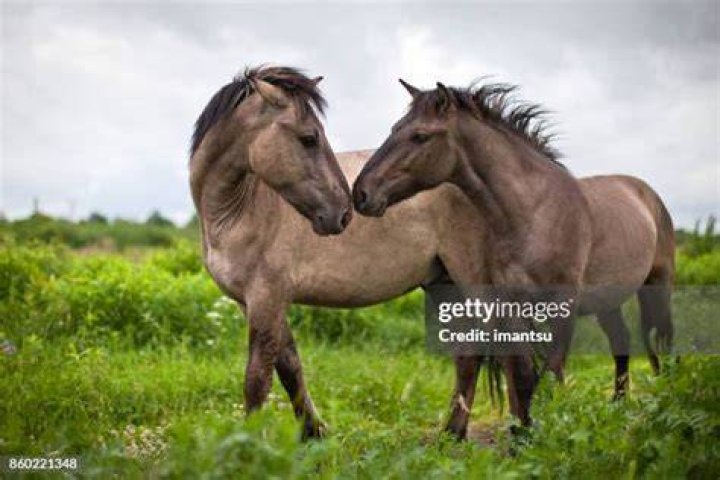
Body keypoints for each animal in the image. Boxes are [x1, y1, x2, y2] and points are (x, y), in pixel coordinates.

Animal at [190, 66, 503, 440]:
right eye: (309, 138)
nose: (343, 213)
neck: (238, 211)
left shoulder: (267, 297)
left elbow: (257, 380)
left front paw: (249, 443)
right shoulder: (251, 301)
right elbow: (289, 366)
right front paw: (313, 433)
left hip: (470, 280)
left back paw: (457, 433)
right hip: (444, 283)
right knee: (466, 355)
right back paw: (450, 434)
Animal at [353, 79, 675, 437]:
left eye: (419, 136)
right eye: (395, 128)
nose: (361, 193)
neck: (534, 213)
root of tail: (647, 195)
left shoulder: (563, 307)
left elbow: (551, 372)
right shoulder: (512, 305)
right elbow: (522, 375)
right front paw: (523, 434)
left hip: (657, 285)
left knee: (661, 339)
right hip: (608, 301)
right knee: (622, 340)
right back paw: (618, 407)